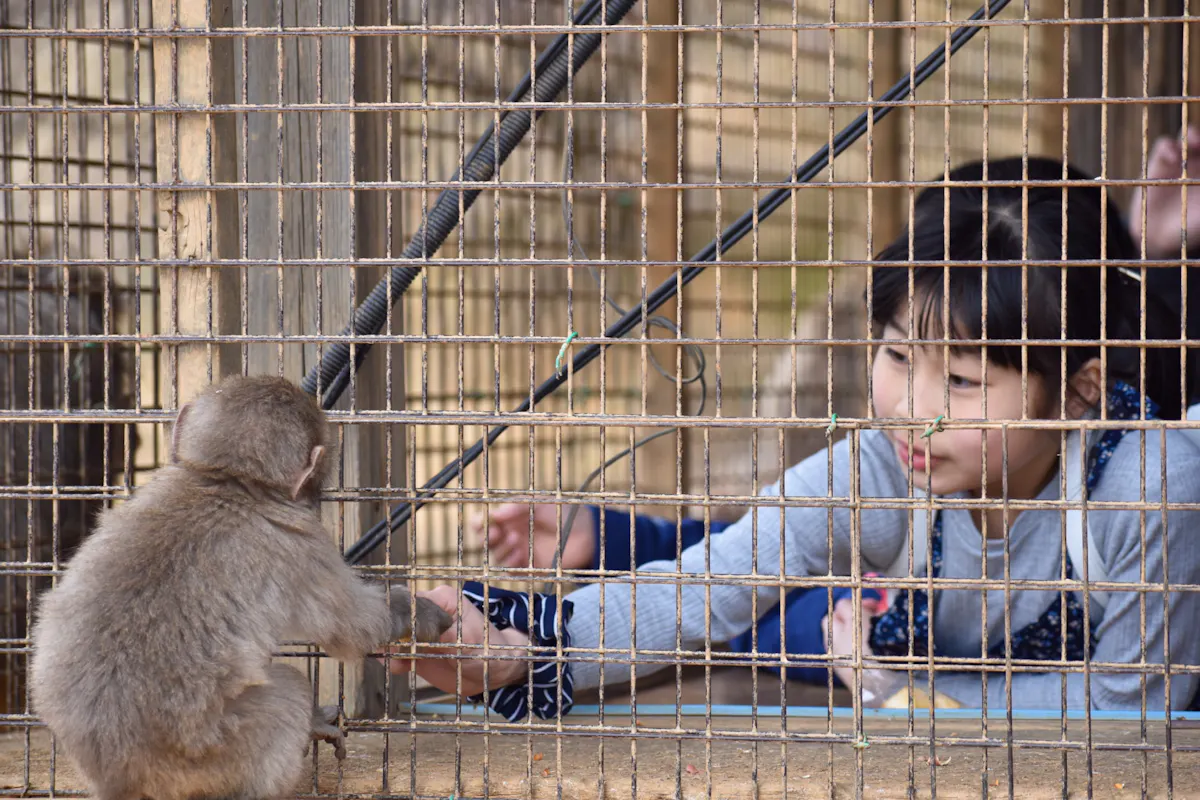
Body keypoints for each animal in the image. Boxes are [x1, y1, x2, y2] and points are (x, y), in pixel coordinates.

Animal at [29, 374, 453, 800]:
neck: (228, 483)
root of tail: (119, 778)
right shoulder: (302, 547)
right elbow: (357, 627)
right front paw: (423, 613)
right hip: (214, 756)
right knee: (288, 693)